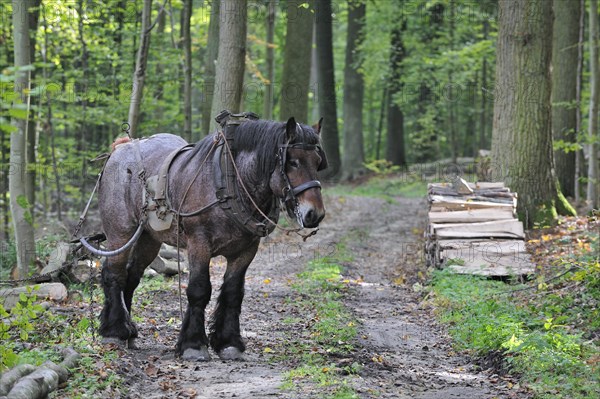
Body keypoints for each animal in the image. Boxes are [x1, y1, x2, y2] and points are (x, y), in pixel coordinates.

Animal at [95, 116, 328, 362]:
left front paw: (229, 342)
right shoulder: (199, 243)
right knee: (114, 274)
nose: (315, 214)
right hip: (121, 232)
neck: (229, 183)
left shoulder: (246, 250)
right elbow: (199, 290)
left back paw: (129, 332)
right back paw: (114, 331)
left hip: (149, 238)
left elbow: (233, 292)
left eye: (317, 161)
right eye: (292, 162)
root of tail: (120, 149)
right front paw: (194, 344)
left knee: (131, 278)